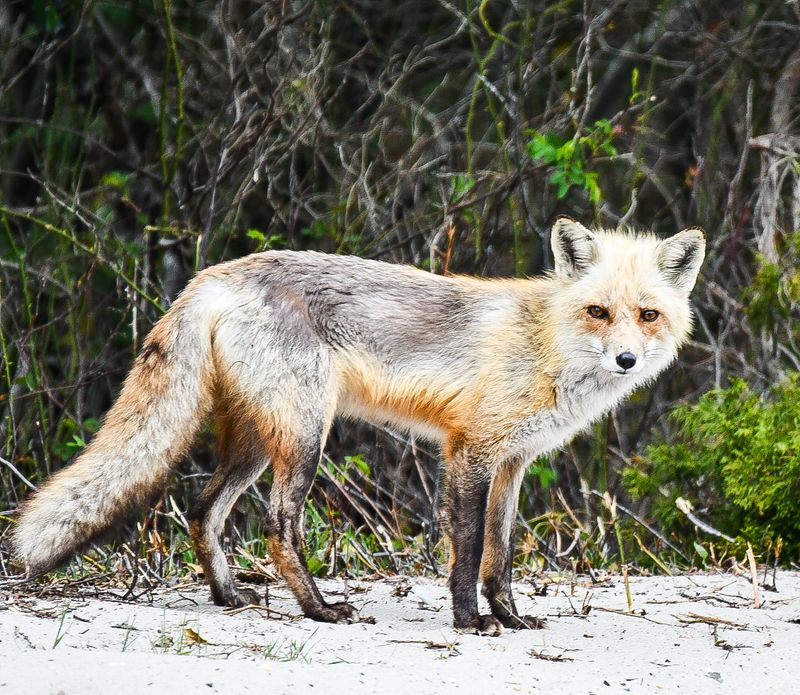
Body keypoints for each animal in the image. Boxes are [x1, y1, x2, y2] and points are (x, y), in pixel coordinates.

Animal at [11, 216, 704, 635]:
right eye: (598, 311)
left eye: (648, 315)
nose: (626, 359)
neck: (544, 343)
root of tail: (210, 275)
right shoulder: (469, 451)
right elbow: (468, 551)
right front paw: (470, 622)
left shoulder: (512, 463)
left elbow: (501, 558)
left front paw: (510, 619)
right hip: (303, 435)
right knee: (277, 523)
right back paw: (318, 609)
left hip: (256, 440)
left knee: (202, 508)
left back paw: (229, 597)